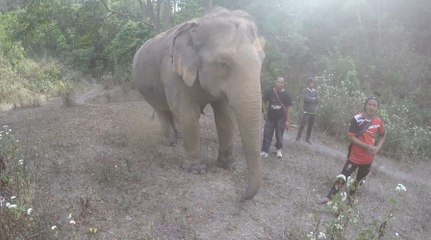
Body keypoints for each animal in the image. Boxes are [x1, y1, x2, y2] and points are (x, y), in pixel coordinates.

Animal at [133, 7, 264, 199]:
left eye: (262, 60)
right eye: (223, 64)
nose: (241, 195)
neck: (198, 26)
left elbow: (225, 115)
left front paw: (228, 165)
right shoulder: (172, 71)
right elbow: (187, 114)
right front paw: (196, 171)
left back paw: (177, 137)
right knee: (161, 109)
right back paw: (170, 141)